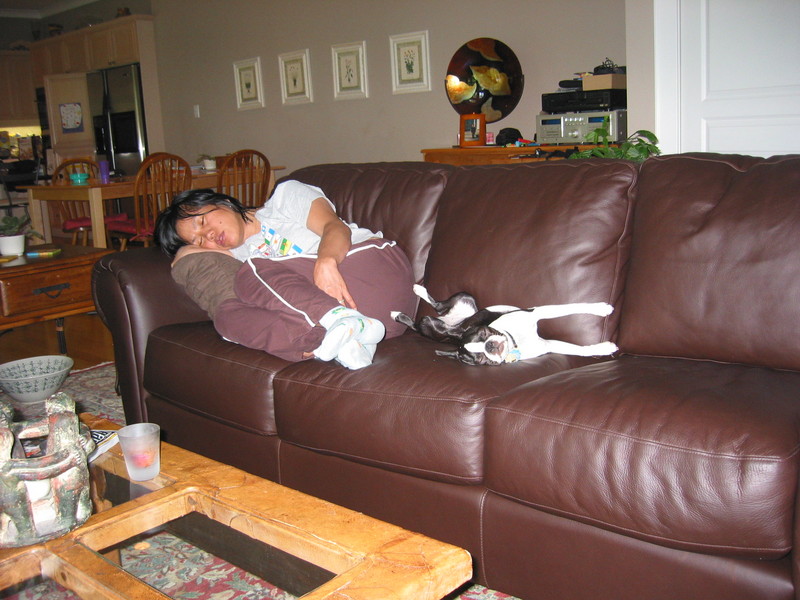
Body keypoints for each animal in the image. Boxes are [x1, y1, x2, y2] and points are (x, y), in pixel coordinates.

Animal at [391, 285, 618, 365]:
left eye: (485, 332)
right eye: (481, 360)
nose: (491, 346)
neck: (515, 340)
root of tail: (453, 324)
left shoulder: (538, 314)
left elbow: (570, 309)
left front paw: (601, 309)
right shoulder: (548, 343)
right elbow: (576, 349)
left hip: (467, 298)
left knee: (438, 306)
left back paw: (418, 290)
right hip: (429, 325)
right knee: (419, 321)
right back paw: (398, 314)